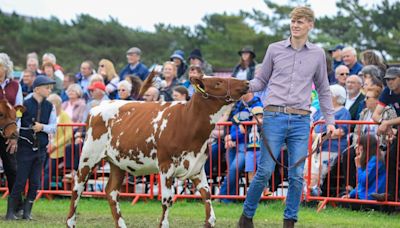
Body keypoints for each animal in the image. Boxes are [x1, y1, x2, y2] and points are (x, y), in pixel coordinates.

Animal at [67, 75, 248, 227]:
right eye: (218, 82)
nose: (246, 83)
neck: (188, 121)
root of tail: (97, 108)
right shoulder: (166, 166)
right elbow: (167, 200)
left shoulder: (197, 167)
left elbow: (208, 199)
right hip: (88, 156)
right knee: (77, 187)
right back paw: (71, 222)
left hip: (117, 162)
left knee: (111, 192)